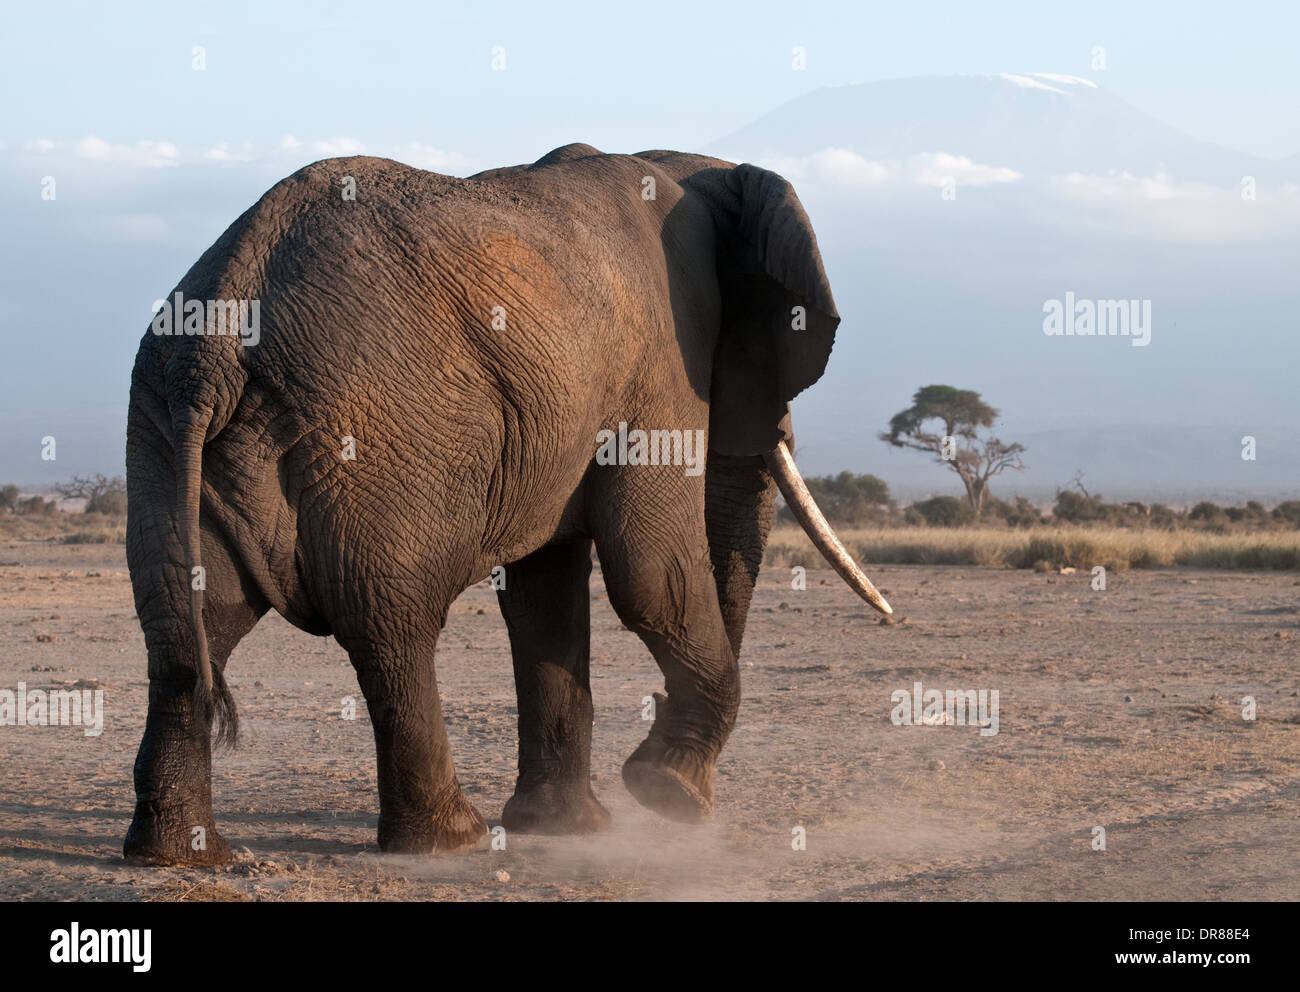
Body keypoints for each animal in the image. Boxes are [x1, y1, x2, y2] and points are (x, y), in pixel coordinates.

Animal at [122, 143, 889, 863]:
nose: (686, 783)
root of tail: (217, 334)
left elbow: (544, 596)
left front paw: (570, 828)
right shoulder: (663, 362)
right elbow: (652, 575)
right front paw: (666, 795)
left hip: (161, 426)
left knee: (189, 623)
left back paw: (184, 855)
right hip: (379, 431)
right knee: (391, 621)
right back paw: (451, 841)